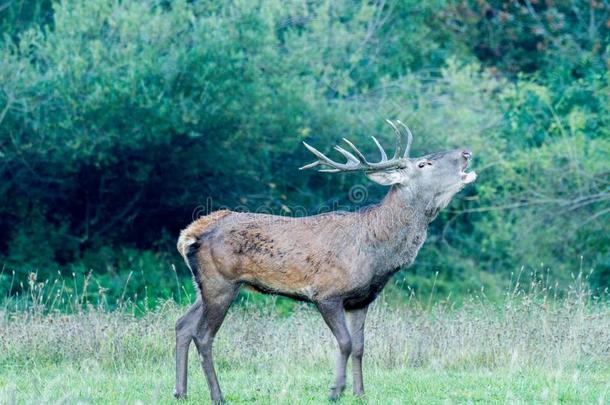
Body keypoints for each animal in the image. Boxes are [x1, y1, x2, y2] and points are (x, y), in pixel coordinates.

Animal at [171, 118, 476, 402]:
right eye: (424, 163)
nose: (466, 152)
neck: (378, 253)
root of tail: (189, 234)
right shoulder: (326, 293)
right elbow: (345, 343)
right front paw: (335, 391)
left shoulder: (361, 300)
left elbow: (361, 347)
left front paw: (360, 393)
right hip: (221, 282)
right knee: (203, 335)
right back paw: (217, 395)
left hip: (205, 285)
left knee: (182, 324)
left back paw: (180, 392)